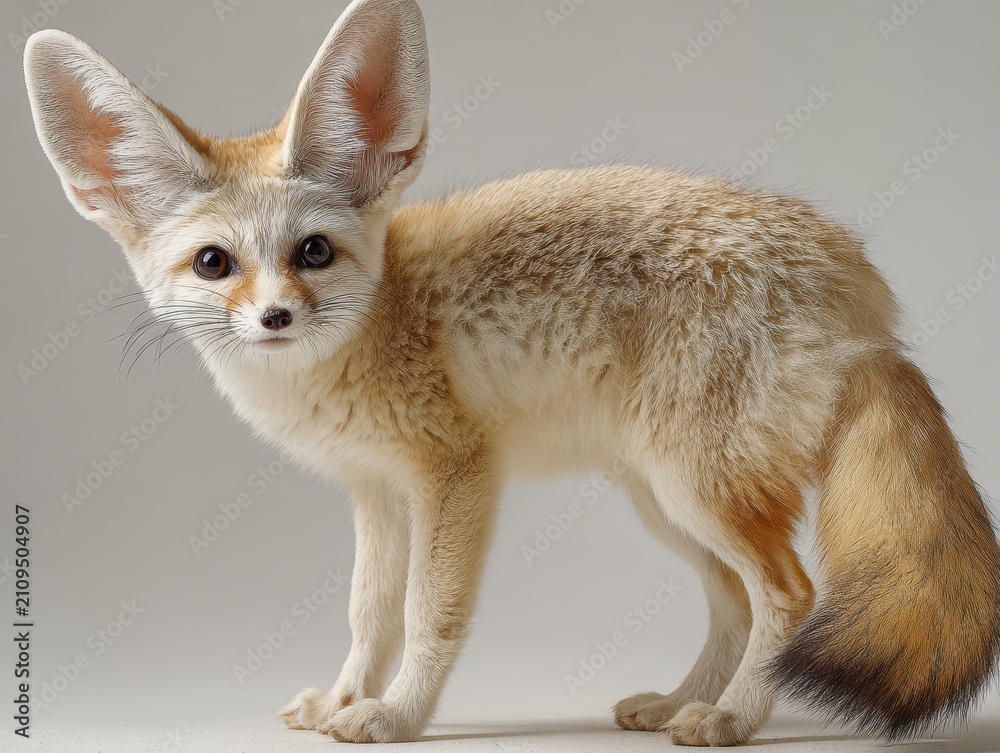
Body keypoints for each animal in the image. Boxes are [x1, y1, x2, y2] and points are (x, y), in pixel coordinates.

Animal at [23, 0, 1000, 746]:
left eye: (313, 252)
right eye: (214, 264)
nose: (275, 318)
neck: (374, 335)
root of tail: (857, 285)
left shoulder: (456, 474)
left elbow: (428, 613)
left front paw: (397, 715)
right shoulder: (376, 492)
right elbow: (368, 614)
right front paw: (343, 697)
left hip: (697, 489)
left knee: (790, 596)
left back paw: (730, 718)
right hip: (666, 499)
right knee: (734, 602)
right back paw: (682, 701)